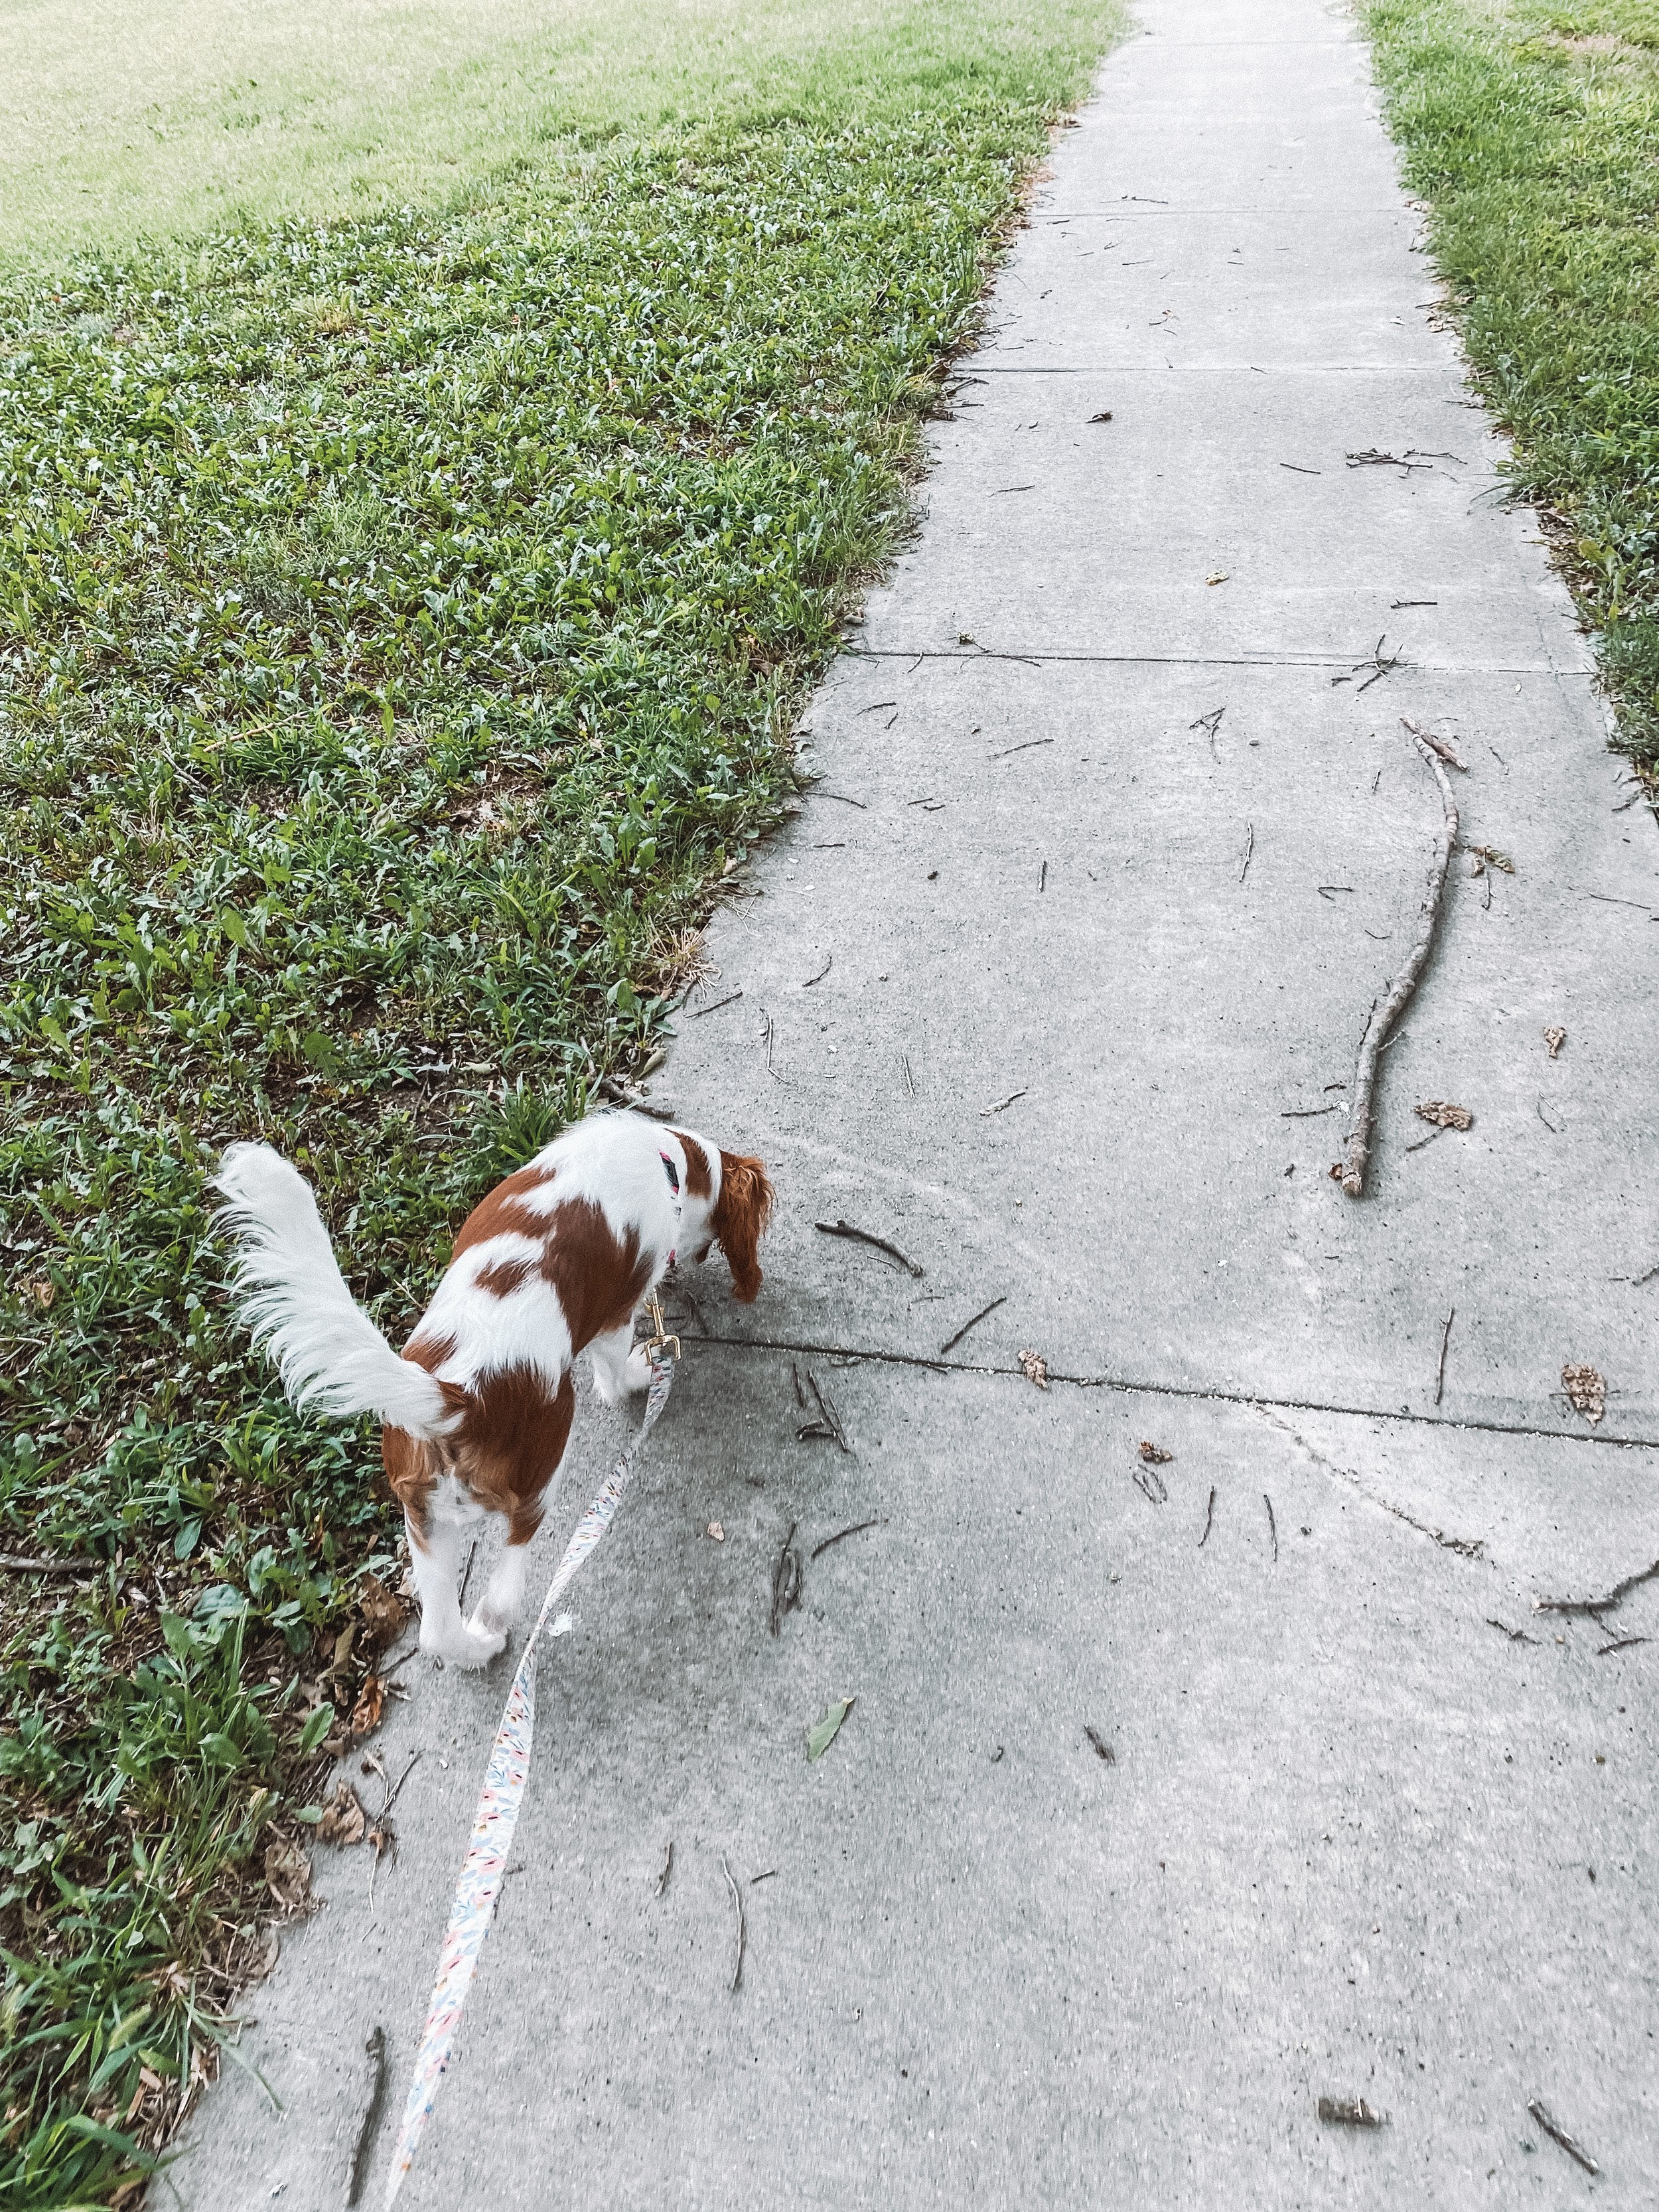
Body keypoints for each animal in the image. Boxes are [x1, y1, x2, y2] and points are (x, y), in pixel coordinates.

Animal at [215, 1111, 772, 1668]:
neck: (667, 1160)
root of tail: (458, 1396)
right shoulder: (617, 1312)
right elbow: (615, 1368)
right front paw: (645, 1368)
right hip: (544, 1463)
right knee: (510, 1574)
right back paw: (493, 1620)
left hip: (423, 1516)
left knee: (437, 1629)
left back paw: (475, 1647)